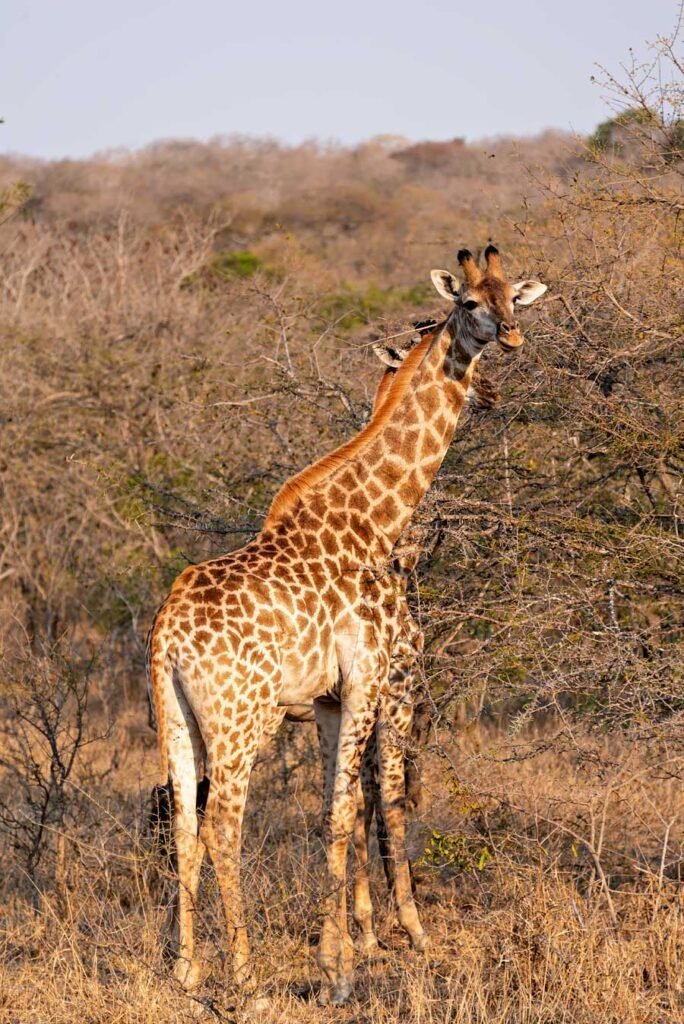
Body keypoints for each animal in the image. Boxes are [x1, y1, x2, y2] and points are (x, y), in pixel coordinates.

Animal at [147, 245, 547, 1004]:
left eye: (514, 296)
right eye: (468, 305)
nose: (510, 339)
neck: (375, 523)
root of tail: (169, 638)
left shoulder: (330, 701)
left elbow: (336, 816)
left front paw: (344, 955)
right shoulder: (372, 682)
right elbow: (360, 808)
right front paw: (351, 964)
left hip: (175, 719)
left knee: (183, 827)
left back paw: (186, 972)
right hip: (242, 719)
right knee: (222, 828)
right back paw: (247, 979)